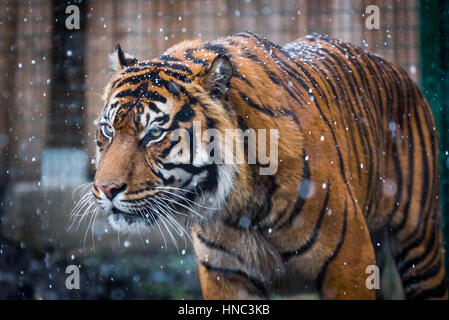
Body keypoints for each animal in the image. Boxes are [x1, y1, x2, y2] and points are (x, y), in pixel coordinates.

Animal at [86, 31, 446, 298]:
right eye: (108, 129)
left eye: (154, 133)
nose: (106, 189)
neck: (237, 207)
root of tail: (399, 69)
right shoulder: (224, 274)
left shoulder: (350, 262)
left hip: (421, 244)